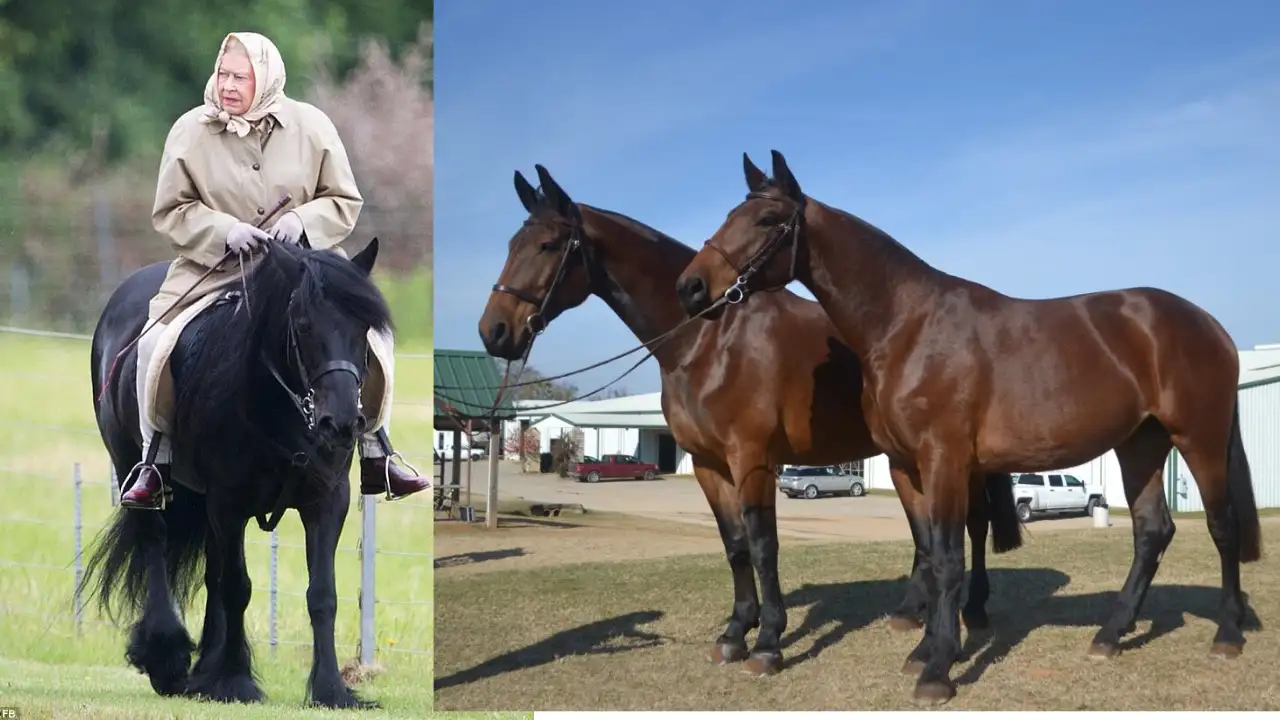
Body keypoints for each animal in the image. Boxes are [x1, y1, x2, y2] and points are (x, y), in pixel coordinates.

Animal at [79, 237, 391, 709]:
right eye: (302, 326)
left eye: (363, 329)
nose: (340, 423)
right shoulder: (229, 503)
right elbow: (237, 587)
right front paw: (235, 682)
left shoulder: (326, 501)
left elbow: (321, 594)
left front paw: (331, 689)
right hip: (134, 467)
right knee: (155, 544)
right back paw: (168, 659)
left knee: (211, 572)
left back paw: (203, 666)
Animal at [476, 164, 1023, 677]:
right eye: (511, 244)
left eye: (547, 245)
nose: (494, 331)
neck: (709, 342)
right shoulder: (707, 464)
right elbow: (735, 546)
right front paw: (736, 632)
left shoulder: (752, 458)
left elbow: (763, 546)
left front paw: (768, 642)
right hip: (901, 459)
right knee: (922, 533)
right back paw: (912, 612)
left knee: (972, 525)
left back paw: (972, 610)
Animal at [675, 149, 1262, 705]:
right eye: (730, 214)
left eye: (769, 219)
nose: (691, 287)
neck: (908, 325)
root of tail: (1210, 325)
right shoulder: (911, 466)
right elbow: (933, 556)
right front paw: (925, 649)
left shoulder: (943, 459)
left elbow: (949, 559)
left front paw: (938, 670)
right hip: (1139, 446)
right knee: (1151, 531)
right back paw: (1110, 635)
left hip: (1199, 438)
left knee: (1222, 526)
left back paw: (1227, 636)